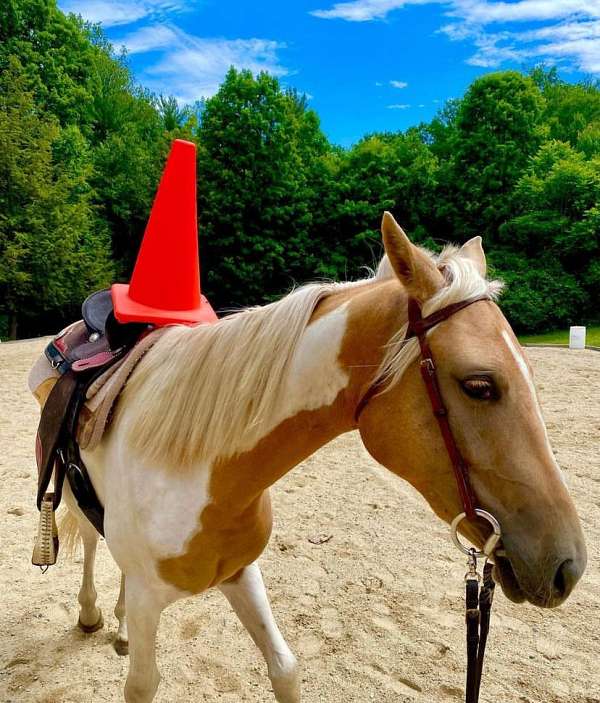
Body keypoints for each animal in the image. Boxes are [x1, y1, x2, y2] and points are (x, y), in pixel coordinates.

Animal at [41, 213, 584, 703]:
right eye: (479, 385)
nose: (570, 566)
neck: (196, 471)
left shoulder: (239, 572)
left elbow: (284, 668)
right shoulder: (153, 599)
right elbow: (142, 683)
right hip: (74, 493)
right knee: (89, 539)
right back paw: (91, 613)